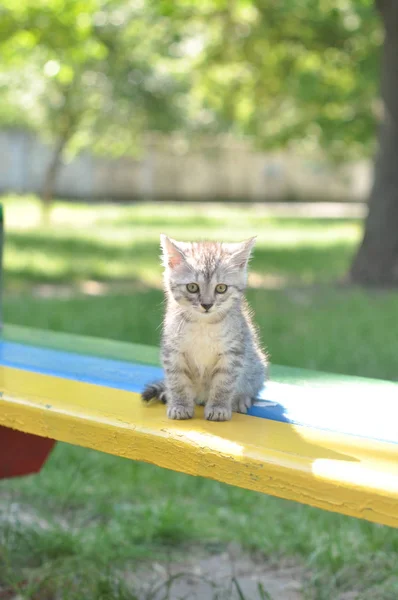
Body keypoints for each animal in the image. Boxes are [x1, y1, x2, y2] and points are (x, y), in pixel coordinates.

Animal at [141, 234, 268, 422]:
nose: (207, 304)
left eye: (221, 288)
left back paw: (241, 398)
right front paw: (179, 405)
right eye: (192, 287)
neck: (203, 324)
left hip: (257, 365)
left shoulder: (233, 352)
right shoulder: (173, 350)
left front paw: (218, 407)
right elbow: (177, 380)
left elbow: (224, 383)